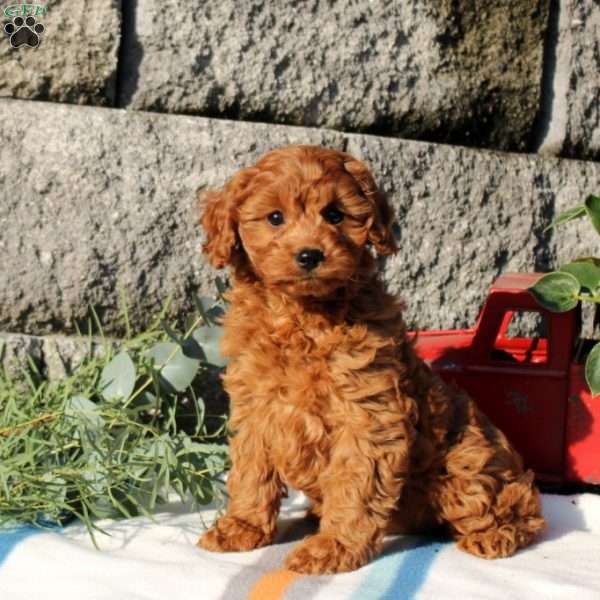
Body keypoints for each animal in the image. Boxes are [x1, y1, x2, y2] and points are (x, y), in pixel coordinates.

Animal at [197, 144, 544, 572]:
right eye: (274, 217)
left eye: (335, 214)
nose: (310, 255)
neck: (303, 316)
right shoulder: (257, 409)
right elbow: (252, 472)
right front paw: (242, 527)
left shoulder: (368, 416)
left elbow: (355, 482)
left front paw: (333, 547)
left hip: (466, 471)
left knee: (517, 504)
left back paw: (497, 534)